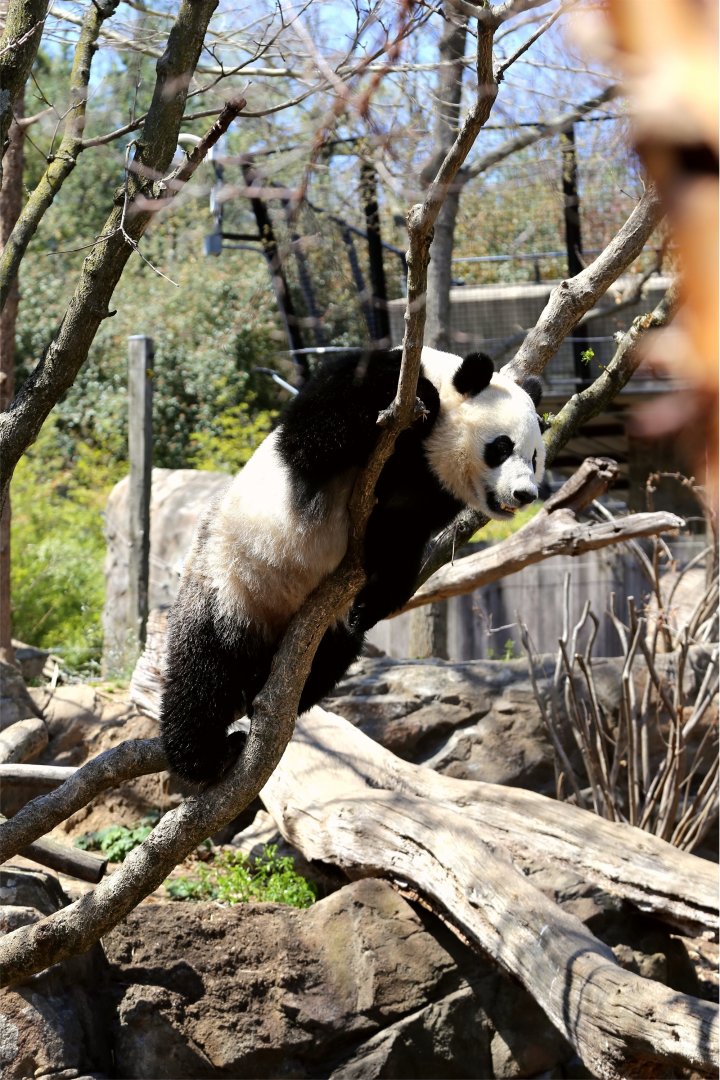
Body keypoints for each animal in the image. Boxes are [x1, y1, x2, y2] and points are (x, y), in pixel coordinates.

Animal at [160, 346, 545, 784]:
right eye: (501, 446)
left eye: (535, 455)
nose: (525, 493)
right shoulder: (354, 398)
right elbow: (317, 434)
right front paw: (420, 396)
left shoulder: (424, 490)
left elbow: (398, 539)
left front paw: (373, 600)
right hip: (228, 580)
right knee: (202, 670)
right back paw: (204, 755)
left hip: (321, 629)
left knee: (331, 657)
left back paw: (265, 691)